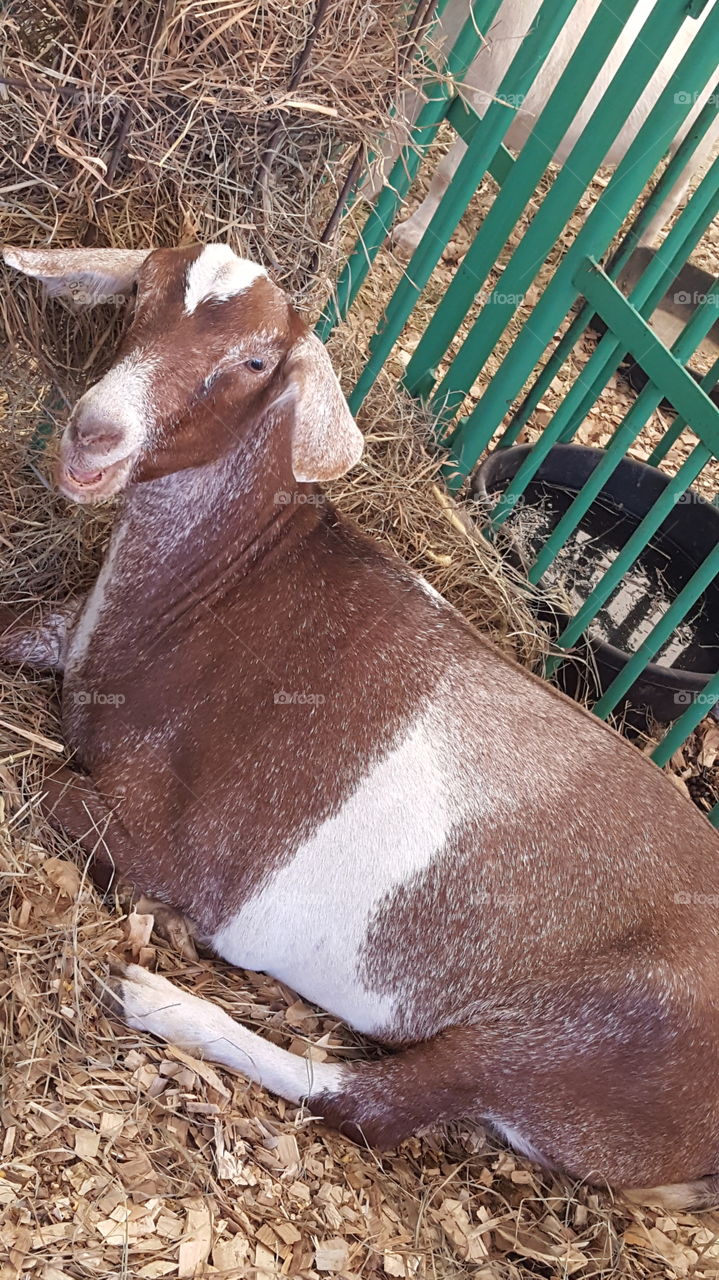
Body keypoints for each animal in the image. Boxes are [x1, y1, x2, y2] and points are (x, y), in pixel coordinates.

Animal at [4, 242, 719, 1212]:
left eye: (256, 363)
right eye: (140, 293)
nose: (93, 433)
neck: (221, 590)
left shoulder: (186, 850)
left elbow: (46, 789)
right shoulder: (66, 636)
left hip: (579, 1041)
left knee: (374, 1104)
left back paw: (160, 1000)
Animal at [376, 0, 719, 258]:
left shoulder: (486, 102)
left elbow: (447, 175)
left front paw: (411, 235)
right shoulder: (426, 73)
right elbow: (392, 139)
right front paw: (367, 193)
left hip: (697, 144)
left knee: (674, 193)